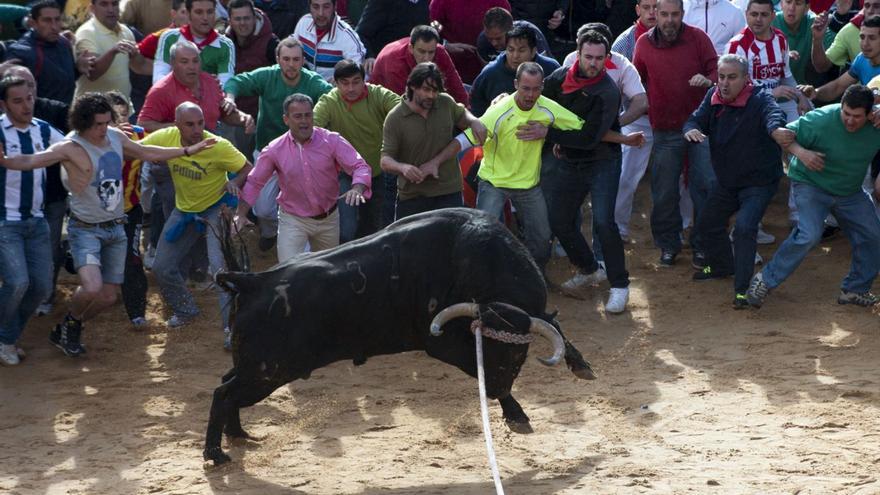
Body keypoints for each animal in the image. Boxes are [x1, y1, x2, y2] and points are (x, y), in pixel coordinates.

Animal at [203, 206, 596, 464]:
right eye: (493, 350)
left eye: (518, 354)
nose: (496, 389)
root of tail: (252, 281)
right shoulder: (441, 343)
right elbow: (476, 366)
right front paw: (515, 411)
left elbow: (557, 327)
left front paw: (581, 367)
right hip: (268, 371)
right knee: (224, 393)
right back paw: (216, 453)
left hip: (255, 365)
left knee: (225, 384)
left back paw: (236, 435)